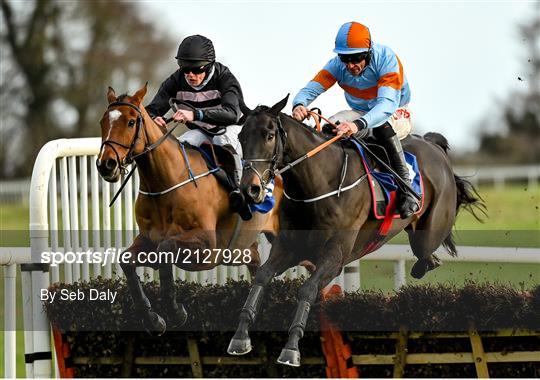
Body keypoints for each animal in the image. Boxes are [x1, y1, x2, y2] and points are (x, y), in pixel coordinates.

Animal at [97, 84, 282, 334]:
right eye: (103, 121)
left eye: (131, 122)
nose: (106, 165)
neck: (166, 185)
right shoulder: (147, 239)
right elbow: (127, 260)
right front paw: (153, 318)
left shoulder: (207, 246)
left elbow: (166, 248)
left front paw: (176, 313)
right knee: (256, 266)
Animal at [226, 95, 484, 366]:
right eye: (242, 136)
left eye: (269, 135)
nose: (250, 189)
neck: (319, 184)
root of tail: (433, 144)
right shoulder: (289, 246)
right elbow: (262, 276)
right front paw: (240, 337)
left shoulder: (335, 256)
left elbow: (307, 289)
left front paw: (291, 349)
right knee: (428, 260)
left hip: (429, 229)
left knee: (425, 256)